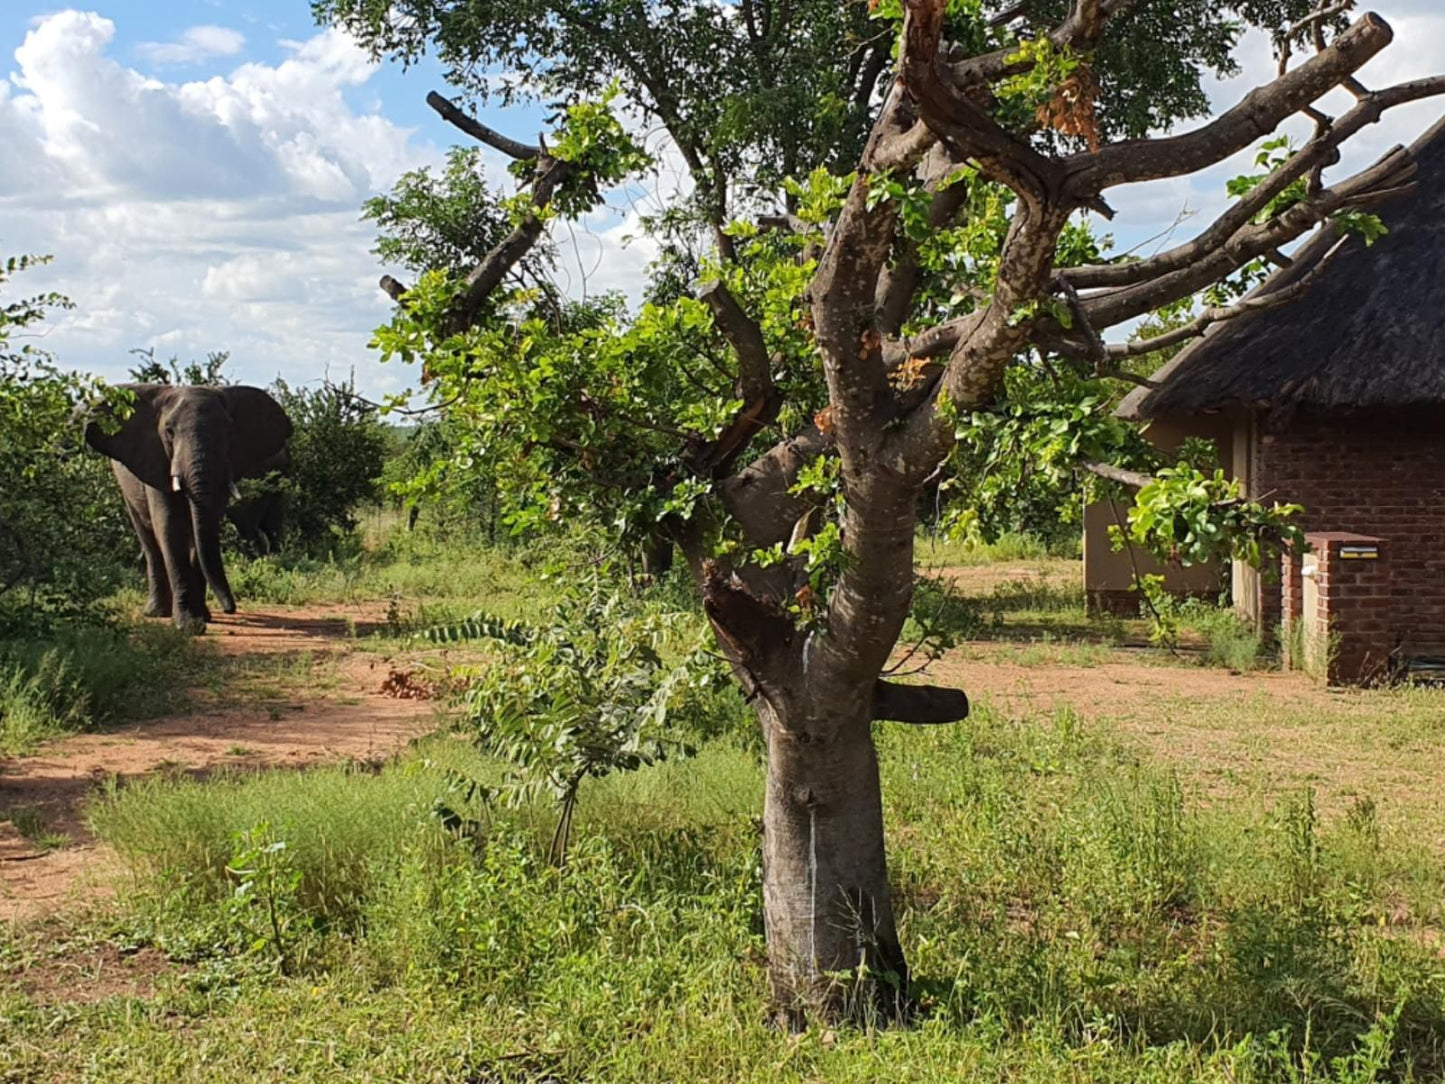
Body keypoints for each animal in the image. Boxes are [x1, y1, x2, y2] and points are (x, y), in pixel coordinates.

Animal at [84, 384, 293, 633]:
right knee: (149, 540)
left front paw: (201, 618)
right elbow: (170, 528)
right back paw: (156, 613)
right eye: (169, 432)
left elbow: (200, 531)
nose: (230, 608)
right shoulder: (157, 462)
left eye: (228, 431)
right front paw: (188, 626)